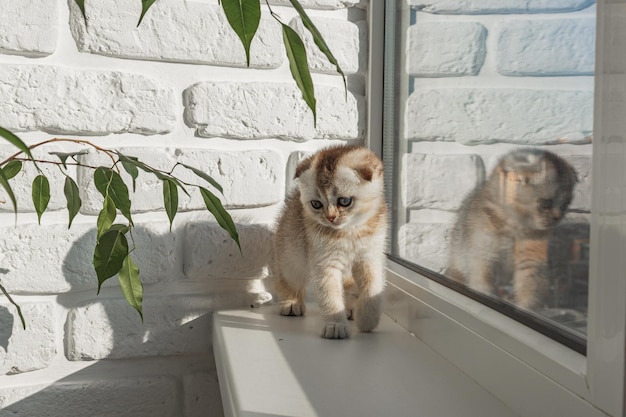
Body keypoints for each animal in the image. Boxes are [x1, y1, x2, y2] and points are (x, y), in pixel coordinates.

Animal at [272, 145, 386, 336]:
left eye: (344, 201)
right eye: (316, 204)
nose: (330, 217)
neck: (349, 232)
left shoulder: (370, 257)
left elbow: (373, 287)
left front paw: (367, 320)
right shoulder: (324, 263)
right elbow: (330, 294)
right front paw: (335, 325)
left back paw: (350, 309)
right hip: (290, 253)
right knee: (289, 278)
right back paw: (291, 302)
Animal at [444, 149, 576, 308]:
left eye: (564, 206)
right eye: (546, 204)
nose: (557, 217)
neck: (515, 227)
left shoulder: (530, 262)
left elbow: (528, 291)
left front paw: (525, 307)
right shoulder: (484, 255)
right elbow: (482, 283)